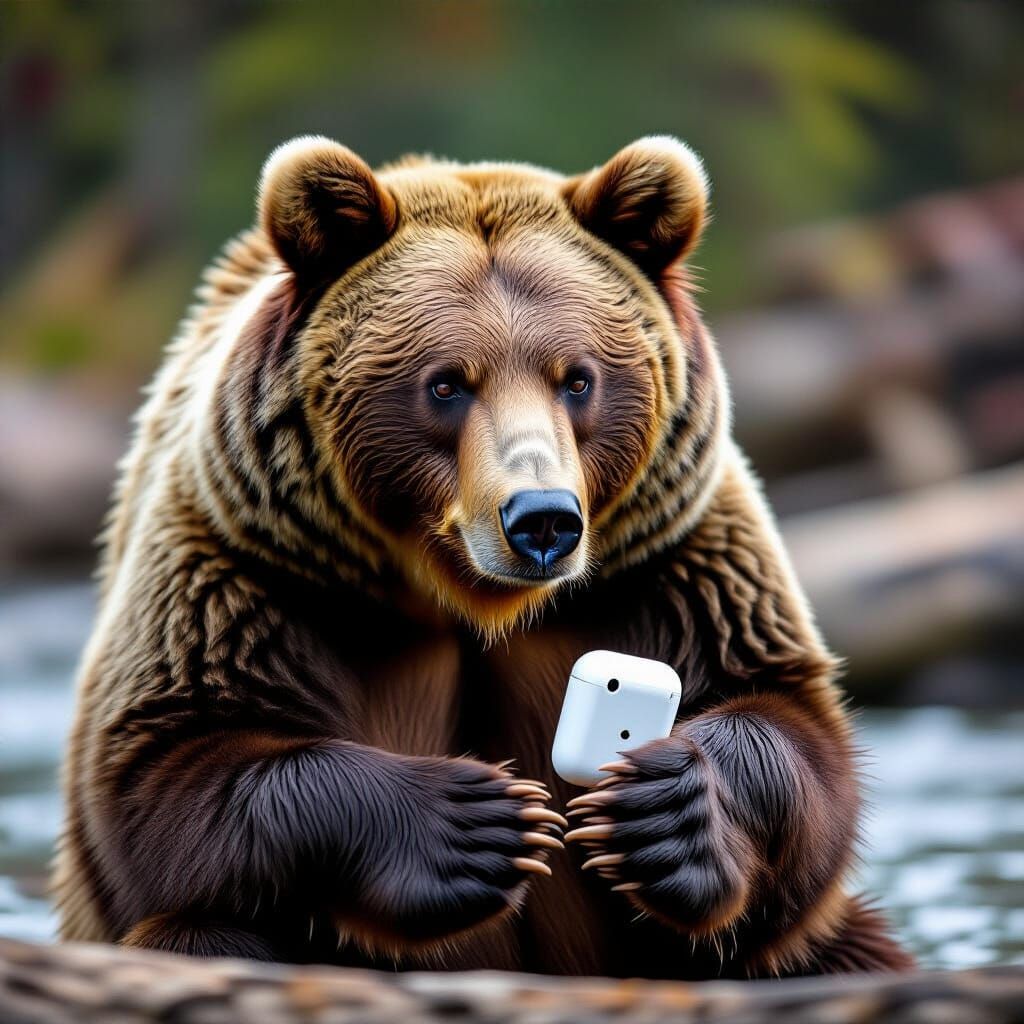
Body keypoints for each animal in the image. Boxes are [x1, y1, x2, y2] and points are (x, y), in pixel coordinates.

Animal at [54, 134, 913, 978]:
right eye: (445, 383)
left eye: (578, 378)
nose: (541, 519)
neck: (464, 598)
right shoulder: (251, 563)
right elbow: (163, 774)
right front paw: (478, 823)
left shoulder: (672, 562)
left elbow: (792, 728)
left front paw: (661, 809)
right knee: (203, 932)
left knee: (844, 950)